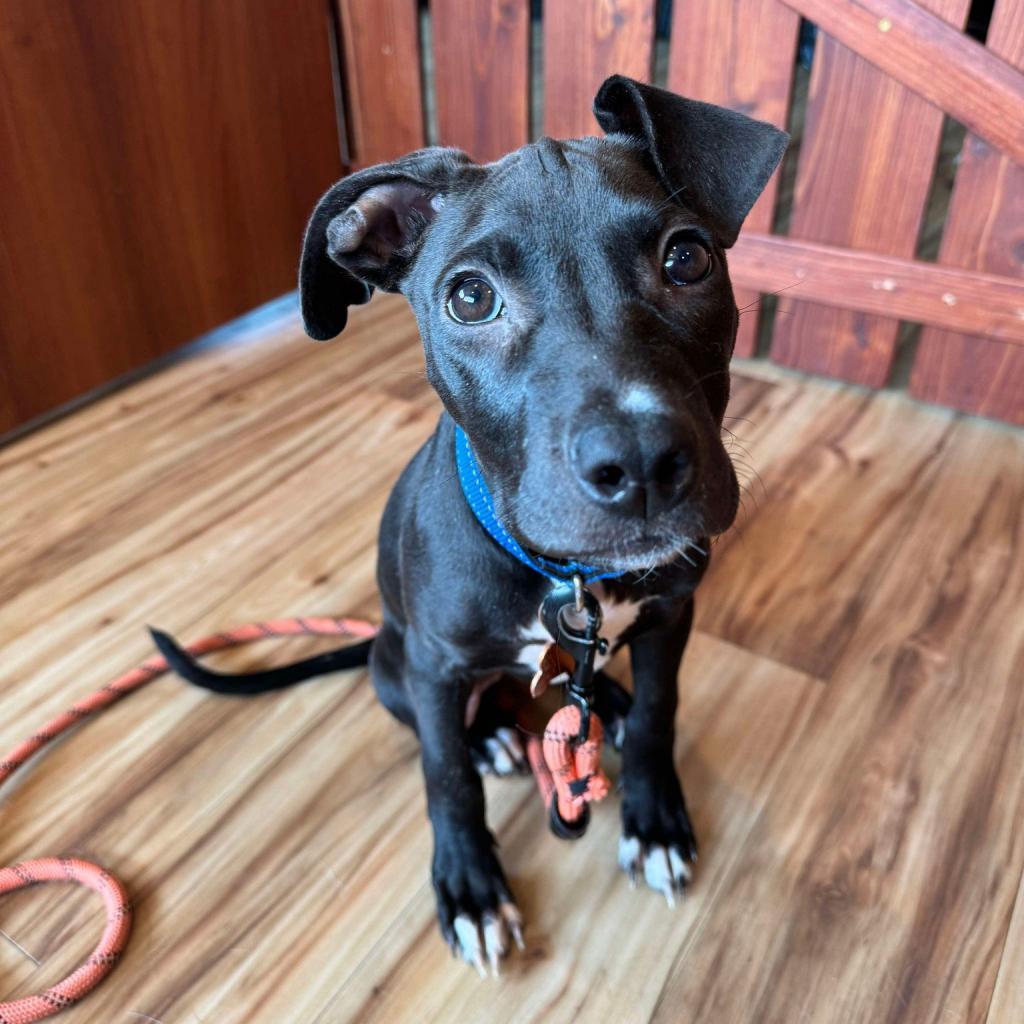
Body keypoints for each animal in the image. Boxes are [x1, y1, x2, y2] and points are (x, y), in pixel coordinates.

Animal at [155, 75, 786, 970]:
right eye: (471, 297)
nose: (638, 465)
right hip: (395, 664)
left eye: (687, 257)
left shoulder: (671, 614)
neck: (568, 581)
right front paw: (471, 888)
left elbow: (661, 713)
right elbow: (445, 777)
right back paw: (493, 735)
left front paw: (655, 819)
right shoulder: (433, 665)